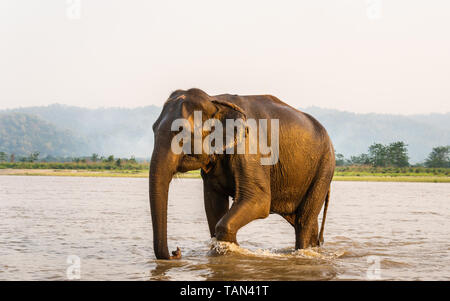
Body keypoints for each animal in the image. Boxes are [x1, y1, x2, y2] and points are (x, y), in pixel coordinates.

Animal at [149, 88, 336, 258]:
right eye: (153, 129)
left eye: (182, 132)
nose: (176, 251)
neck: (215, 100)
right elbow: (213, 204)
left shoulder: (251, 147)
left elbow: (258, 200)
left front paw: (231, 250)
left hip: (324, 167)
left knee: (304, 221)